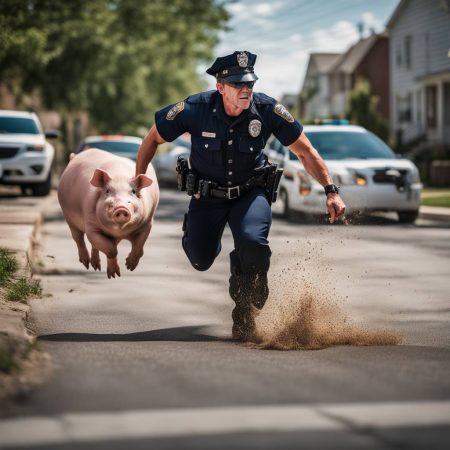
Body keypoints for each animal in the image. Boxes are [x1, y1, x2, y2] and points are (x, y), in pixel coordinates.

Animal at [57, 149, 160, 278]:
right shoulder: (91, 225)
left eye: (133, 192)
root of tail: (75, 156)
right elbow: (110, 249)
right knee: (78, 238)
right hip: (69, 218)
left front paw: (129, 267)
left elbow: (139, 247)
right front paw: (115, 275)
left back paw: (96, 267)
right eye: (107, 191)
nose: (121, 208)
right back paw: (88, 265)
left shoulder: (147, 223)